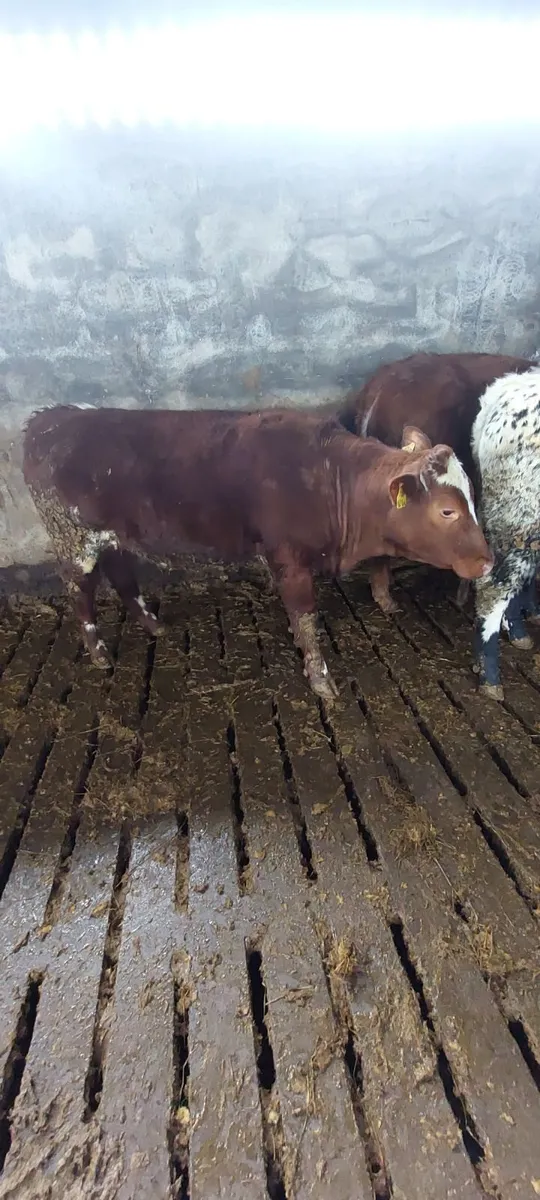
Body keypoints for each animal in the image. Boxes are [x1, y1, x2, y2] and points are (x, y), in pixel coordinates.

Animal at [22, 405, 493, 701]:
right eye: (447, 510)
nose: (486, 560)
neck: (331, 478)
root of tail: (48, 418)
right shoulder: (289, 560)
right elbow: (306, 618)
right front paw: (320, 679)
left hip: (115, 536)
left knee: (122, 575)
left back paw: (154, 625)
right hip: (74, 539)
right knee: (81, 593)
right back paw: (99, 652)